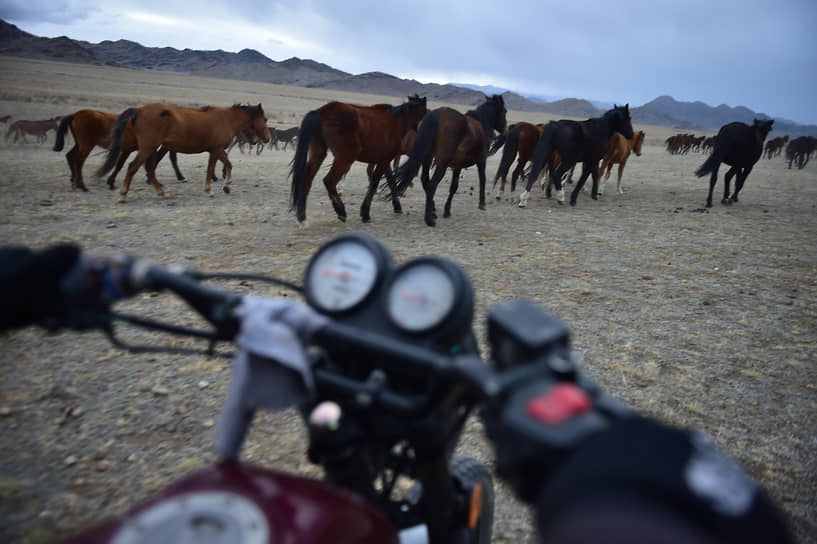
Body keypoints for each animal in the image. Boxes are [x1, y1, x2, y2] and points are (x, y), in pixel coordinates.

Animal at [53, 108, 190, 191]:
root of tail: (75, 115)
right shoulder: (128, 149)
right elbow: (121, 165)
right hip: (86, 144)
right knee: (79, 161)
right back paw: (81, 185)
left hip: (79, 143)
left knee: (70, 156)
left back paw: (74, 181)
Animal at [95, 102, 268, 200]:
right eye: (265, 119)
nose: (266, 138)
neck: (226, 119)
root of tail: (139, 110)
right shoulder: (216, 150)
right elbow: (211, 168)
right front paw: (209, 190)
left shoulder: (217, 150)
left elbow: (228, 164)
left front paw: (227, 186)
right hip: (147, 147)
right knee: (133, 167)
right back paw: (124, 194)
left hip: (150, 148)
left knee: (149, 168)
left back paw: (161, 192)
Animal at [286, 95, 428, 225]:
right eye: (427, 114)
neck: (396, 122)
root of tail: (321, 112)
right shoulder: (384, 161)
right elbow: (374, 184)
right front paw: (365, 213)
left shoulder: (384, 160)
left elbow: (390, 181)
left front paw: (397, 207)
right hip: (345, 158)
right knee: (329, 181)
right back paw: (341, 211)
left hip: (319, 154)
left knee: (307, 180)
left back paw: (302, 216)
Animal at [388, 94, 504, 226]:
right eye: (505, 111)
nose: (505, 128)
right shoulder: (481, 160)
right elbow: (482, 179)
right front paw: (482, 203)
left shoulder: (457, 165)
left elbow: (454, 186)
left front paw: (446, 210)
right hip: (440, 163)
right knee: (431, 184)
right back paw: (429, 218)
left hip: (427, 158)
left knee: (423, 180)